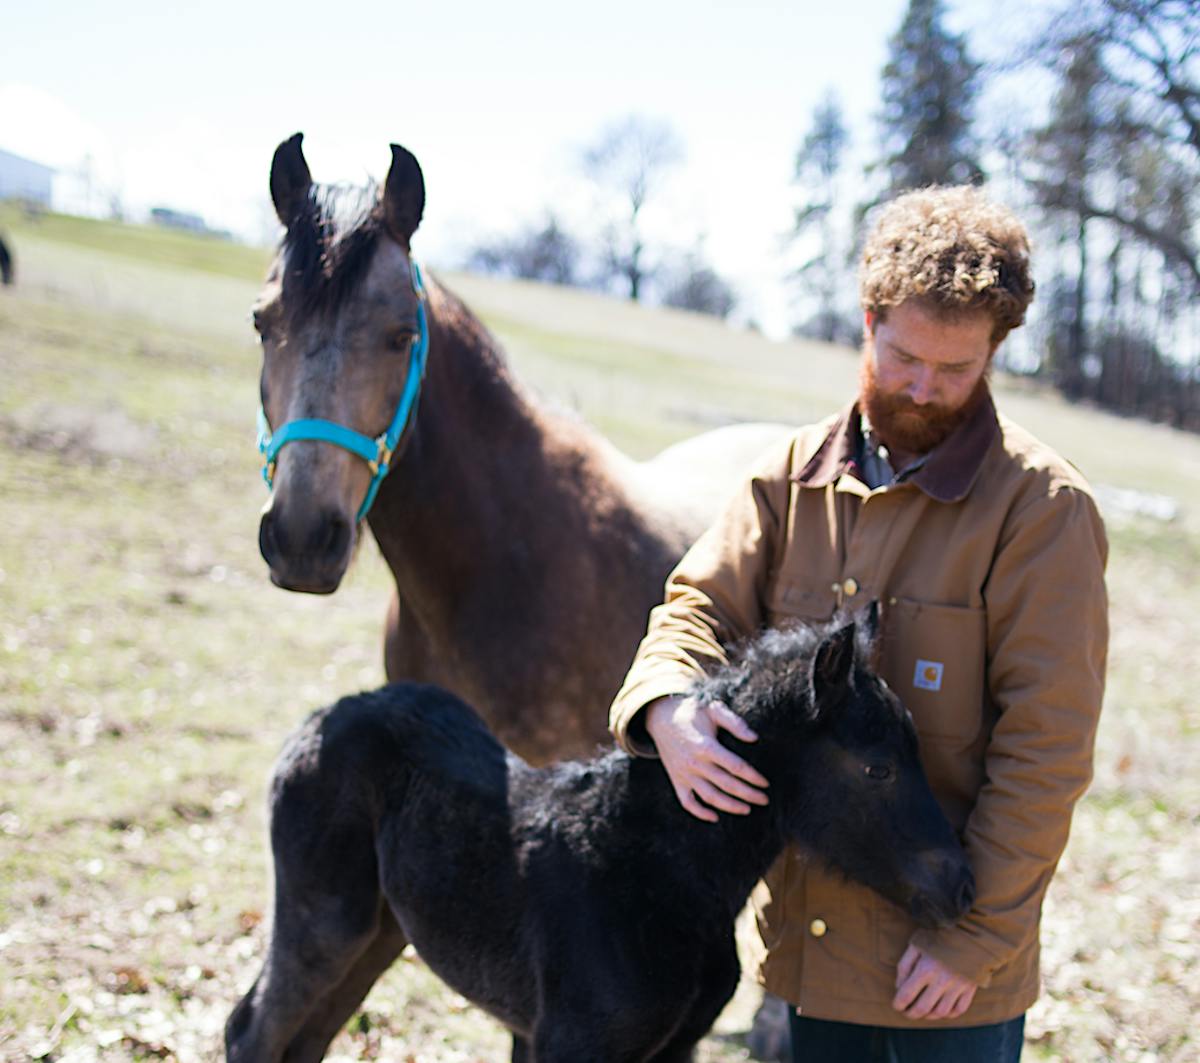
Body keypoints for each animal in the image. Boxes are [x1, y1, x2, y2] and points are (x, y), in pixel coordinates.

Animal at [226, 615, 974, 1062]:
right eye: (877, 767)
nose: (962, 885)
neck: (650, 872)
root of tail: (327, 712)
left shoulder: (669, 1047)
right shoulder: (568, 1043)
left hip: (383, 930)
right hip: (327, 918)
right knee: (254, 1029)